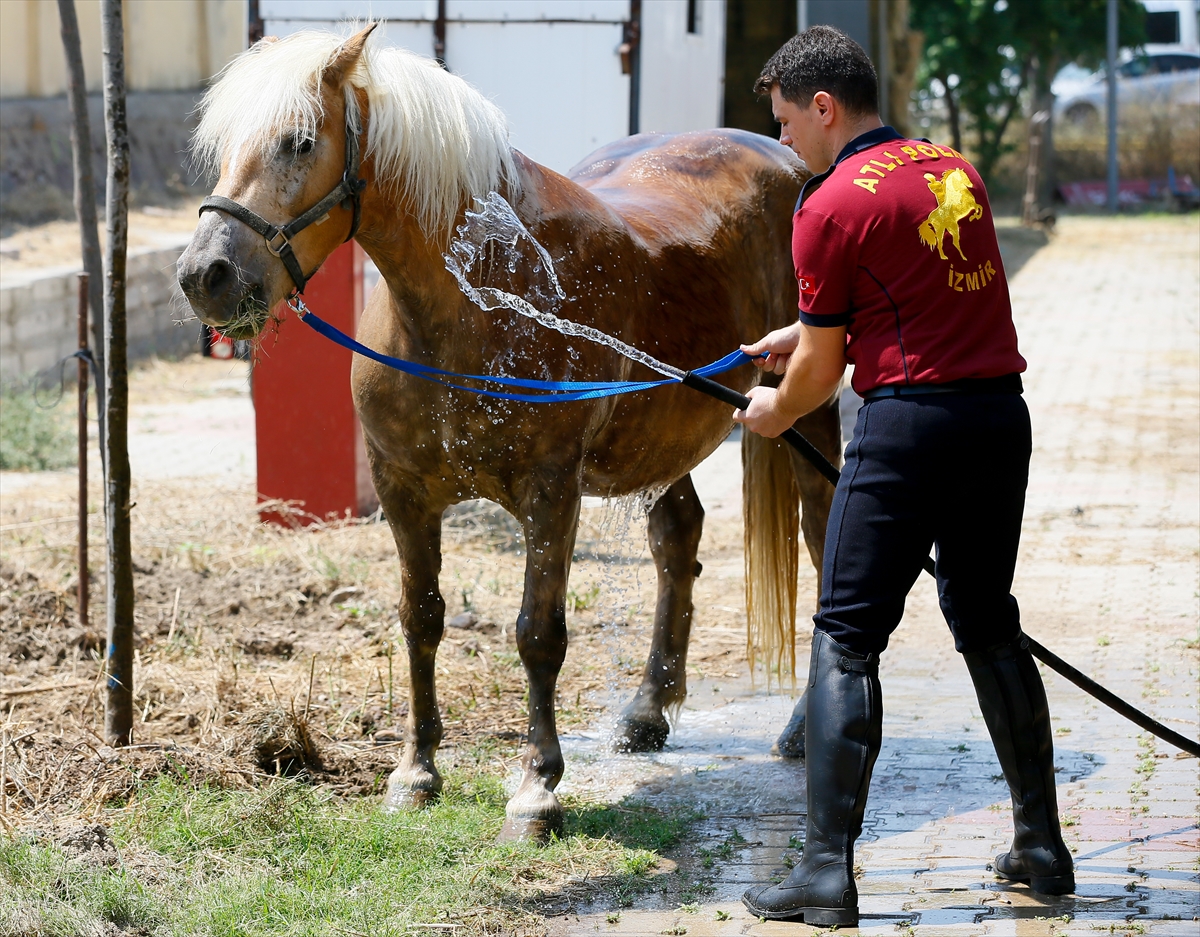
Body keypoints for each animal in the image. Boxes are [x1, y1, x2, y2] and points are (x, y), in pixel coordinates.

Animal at [177, 25, 840, 835]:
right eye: (222, 145)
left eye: (299, 141)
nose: (204, 275)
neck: (484, 289)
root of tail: (789, 160)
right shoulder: (403, 492)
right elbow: (421, 619)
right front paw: (415, 771)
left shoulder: (550, 493)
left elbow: (537, 633)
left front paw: (535, 788)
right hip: (659, 435)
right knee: (677, 538)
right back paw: (645, 712)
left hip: (807, 418)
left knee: (821, 546)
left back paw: (802, 728)